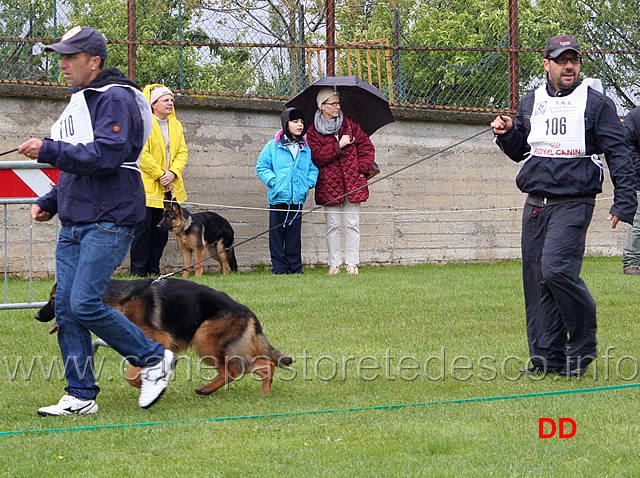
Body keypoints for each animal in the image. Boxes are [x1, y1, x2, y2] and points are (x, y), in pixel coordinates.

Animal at [36, 278, 292, 394]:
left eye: (52, 299)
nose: (38, 315)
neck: (116, 301)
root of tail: (248, 312)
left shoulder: (159, 342)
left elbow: (132, 373)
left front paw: (143, 384)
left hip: (204, 340)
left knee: (232, 370)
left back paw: (207, 389)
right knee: (263, 364)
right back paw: (264, 390)